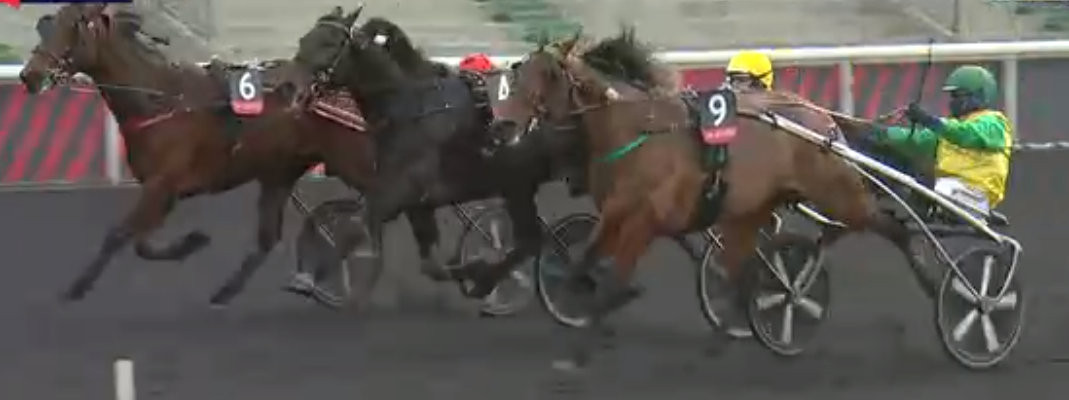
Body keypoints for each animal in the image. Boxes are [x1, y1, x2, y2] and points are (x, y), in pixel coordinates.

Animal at [17, 4, 369, 307]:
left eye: (73, 28)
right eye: (47, 25)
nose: (29, 76)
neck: (161, 100)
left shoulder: (163, 184)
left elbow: (119, 235)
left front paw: (76, 289)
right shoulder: (164, 191)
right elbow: (140, 242)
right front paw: (192, 243)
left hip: (351, 162)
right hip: (279, 173)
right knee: (268, 238)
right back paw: (225, 294)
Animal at [285, 7, 581, 301]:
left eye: (329, 43)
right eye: (303, 40)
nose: (290, 86)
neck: (412, 108)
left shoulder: (397, 192)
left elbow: (352, 229)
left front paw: (314, 276)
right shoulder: (418, 204)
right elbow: (431, 266)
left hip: (522, 183)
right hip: (517, 184)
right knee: (529, 241)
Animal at [489, 29, 933, 373]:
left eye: (547, 73)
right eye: (518, 69)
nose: (504, 124)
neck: (640, 132)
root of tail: (822, 118)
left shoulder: (645, 221)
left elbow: (614, 278)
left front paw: (581, 349)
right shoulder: (615, 213)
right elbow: (584, 261)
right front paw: (576, 302)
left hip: (838, 195)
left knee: (892, 227)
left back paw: (934, 287)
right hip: (750, 212)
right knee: (745, 275)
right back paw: (725, 336)